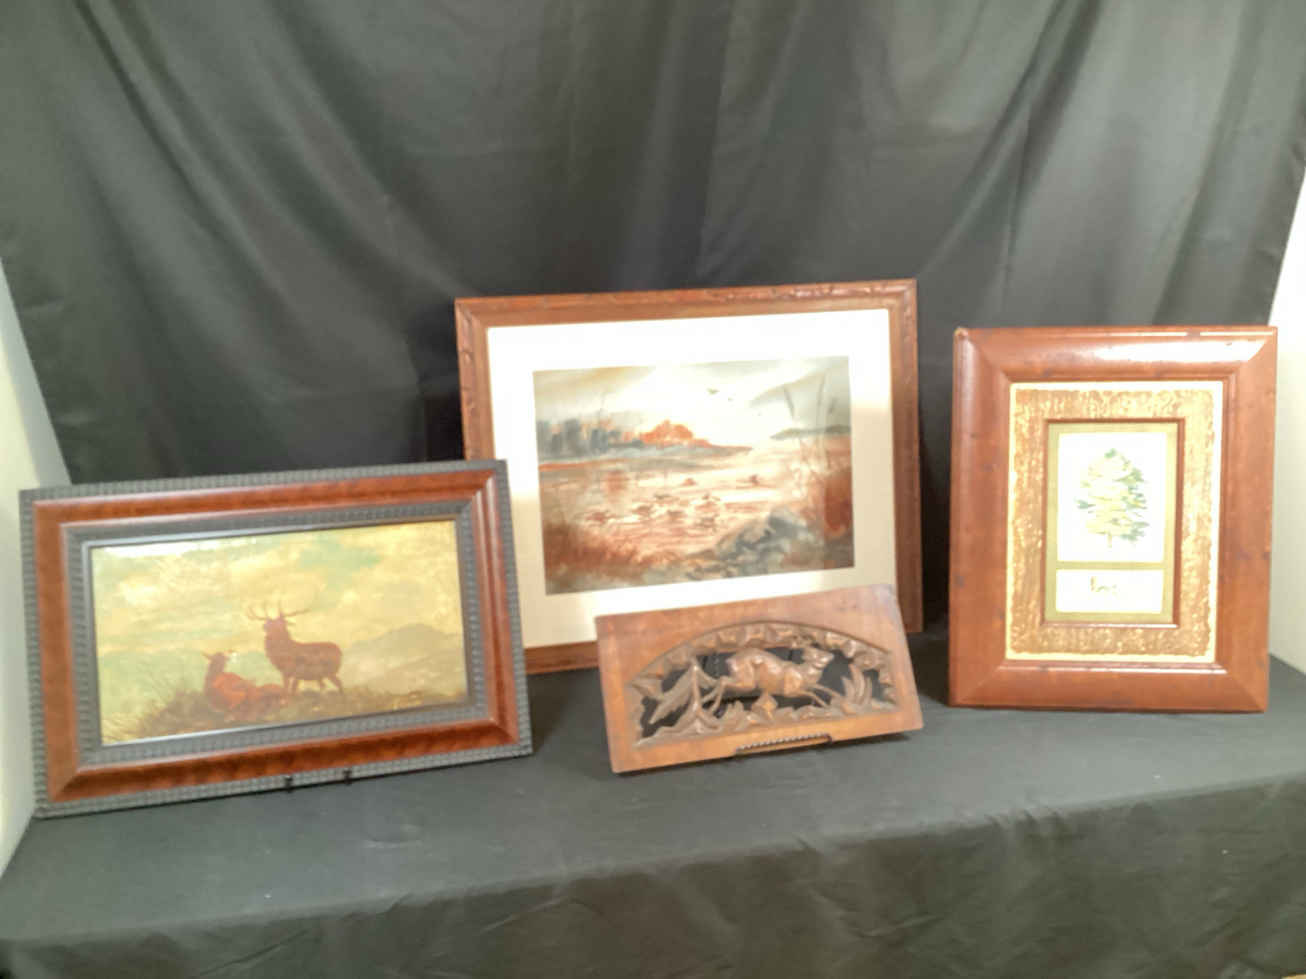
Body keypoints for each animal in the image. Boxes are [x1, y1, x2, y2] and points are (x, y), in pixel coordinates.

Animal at [704, 642, 838, 719]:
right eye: (817, 653)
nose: (831, 654)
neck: (804, 674)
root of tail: (730, 661)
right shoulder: (790, 691)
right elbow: (812, 693)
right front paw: (825, 705)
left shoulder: (810, 685)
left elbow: (822, 687)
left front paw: (835, 697)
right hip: (747, 682)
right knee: (723, 681)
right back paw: (711, 710)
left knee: (720, 680)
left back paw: (706, 706)